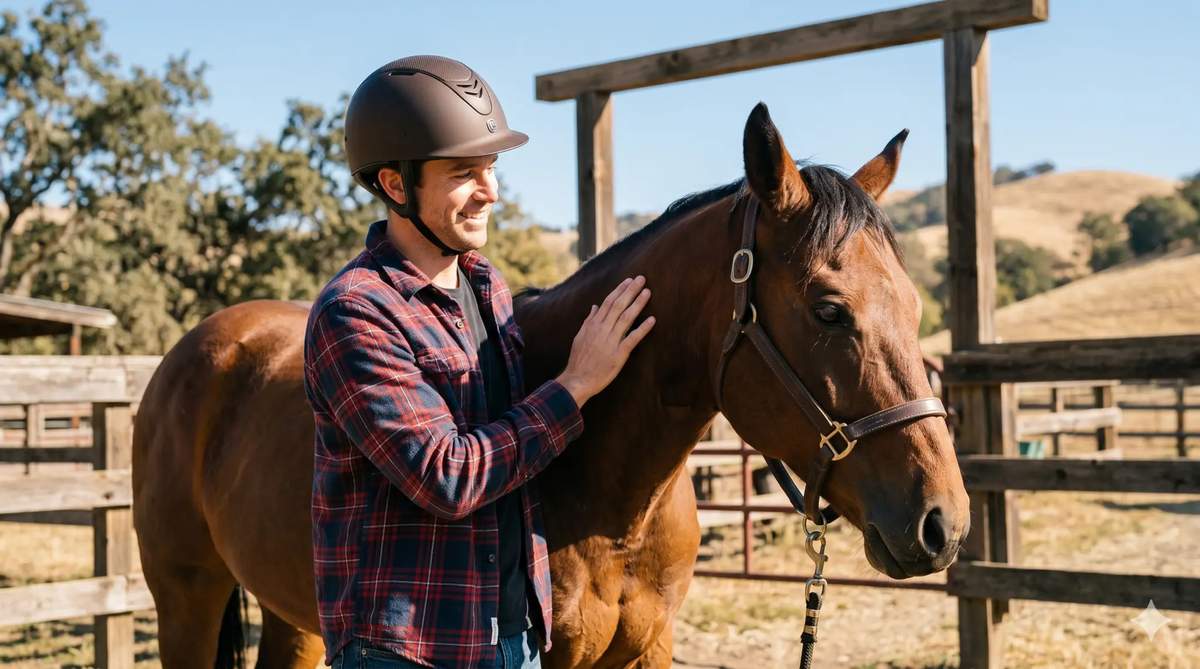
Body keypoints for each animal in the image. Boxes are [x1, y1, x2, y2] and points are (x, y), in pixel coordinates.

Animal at [132, 102, 969, 668]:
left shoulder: (646, 651)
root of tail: (199, 349)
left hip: (294, 614)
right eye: (829, 309)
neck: (615, 503)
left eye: (915, 305)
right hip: (186, 598)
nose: (944, 523)